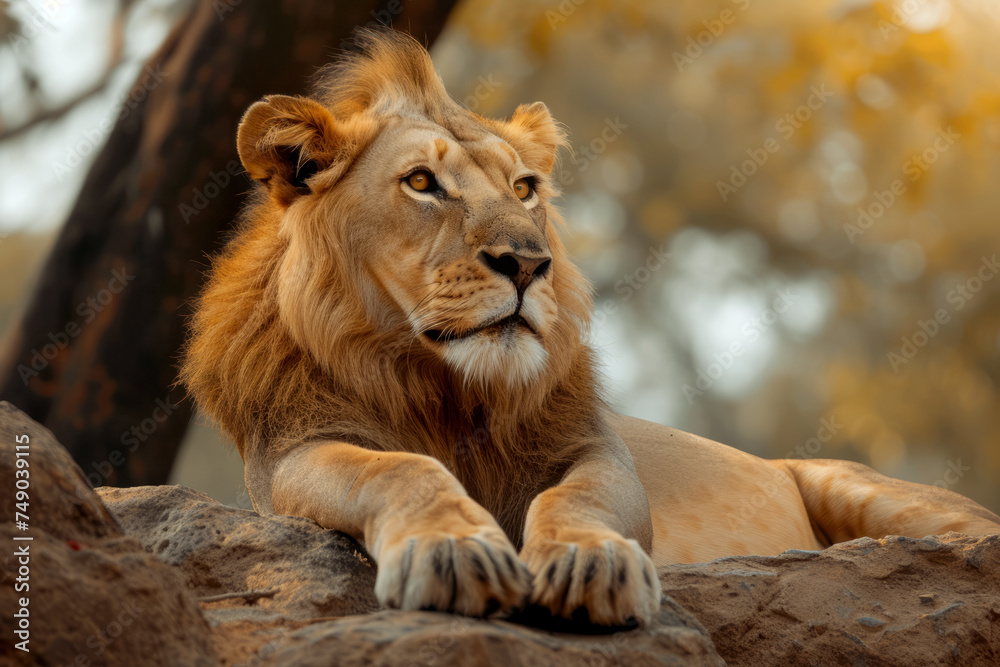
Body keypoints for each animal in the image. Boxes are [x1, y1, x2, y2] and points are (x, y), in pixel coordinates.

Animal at [181, 29, 1000, 627]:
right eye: (420, 183)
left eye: (524, 189)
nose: (527, 262)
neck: (451, 393)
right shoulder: (295, 451)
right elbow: (401, 469)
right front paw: (455, 552)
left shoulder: (596, 448)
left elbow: (578, 501)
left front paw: (590, 563)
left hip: (864, 488)